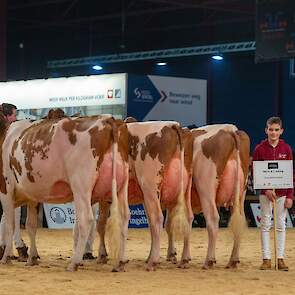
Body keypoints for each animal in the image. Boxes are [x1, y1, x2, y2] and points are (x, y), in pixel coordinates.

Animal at [0, 114, 130, 272]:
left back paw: (74, 262)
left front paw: (6, 257)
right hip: (121, 186)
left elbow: (9, 225)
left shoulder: (5, 188)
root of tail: (107, 119)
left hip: (81, 185)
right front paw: (32, 258)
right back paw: (120, 262)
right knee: (124, 217)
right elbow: (31, 226)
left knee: (86, 219)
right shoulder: (33, 196)